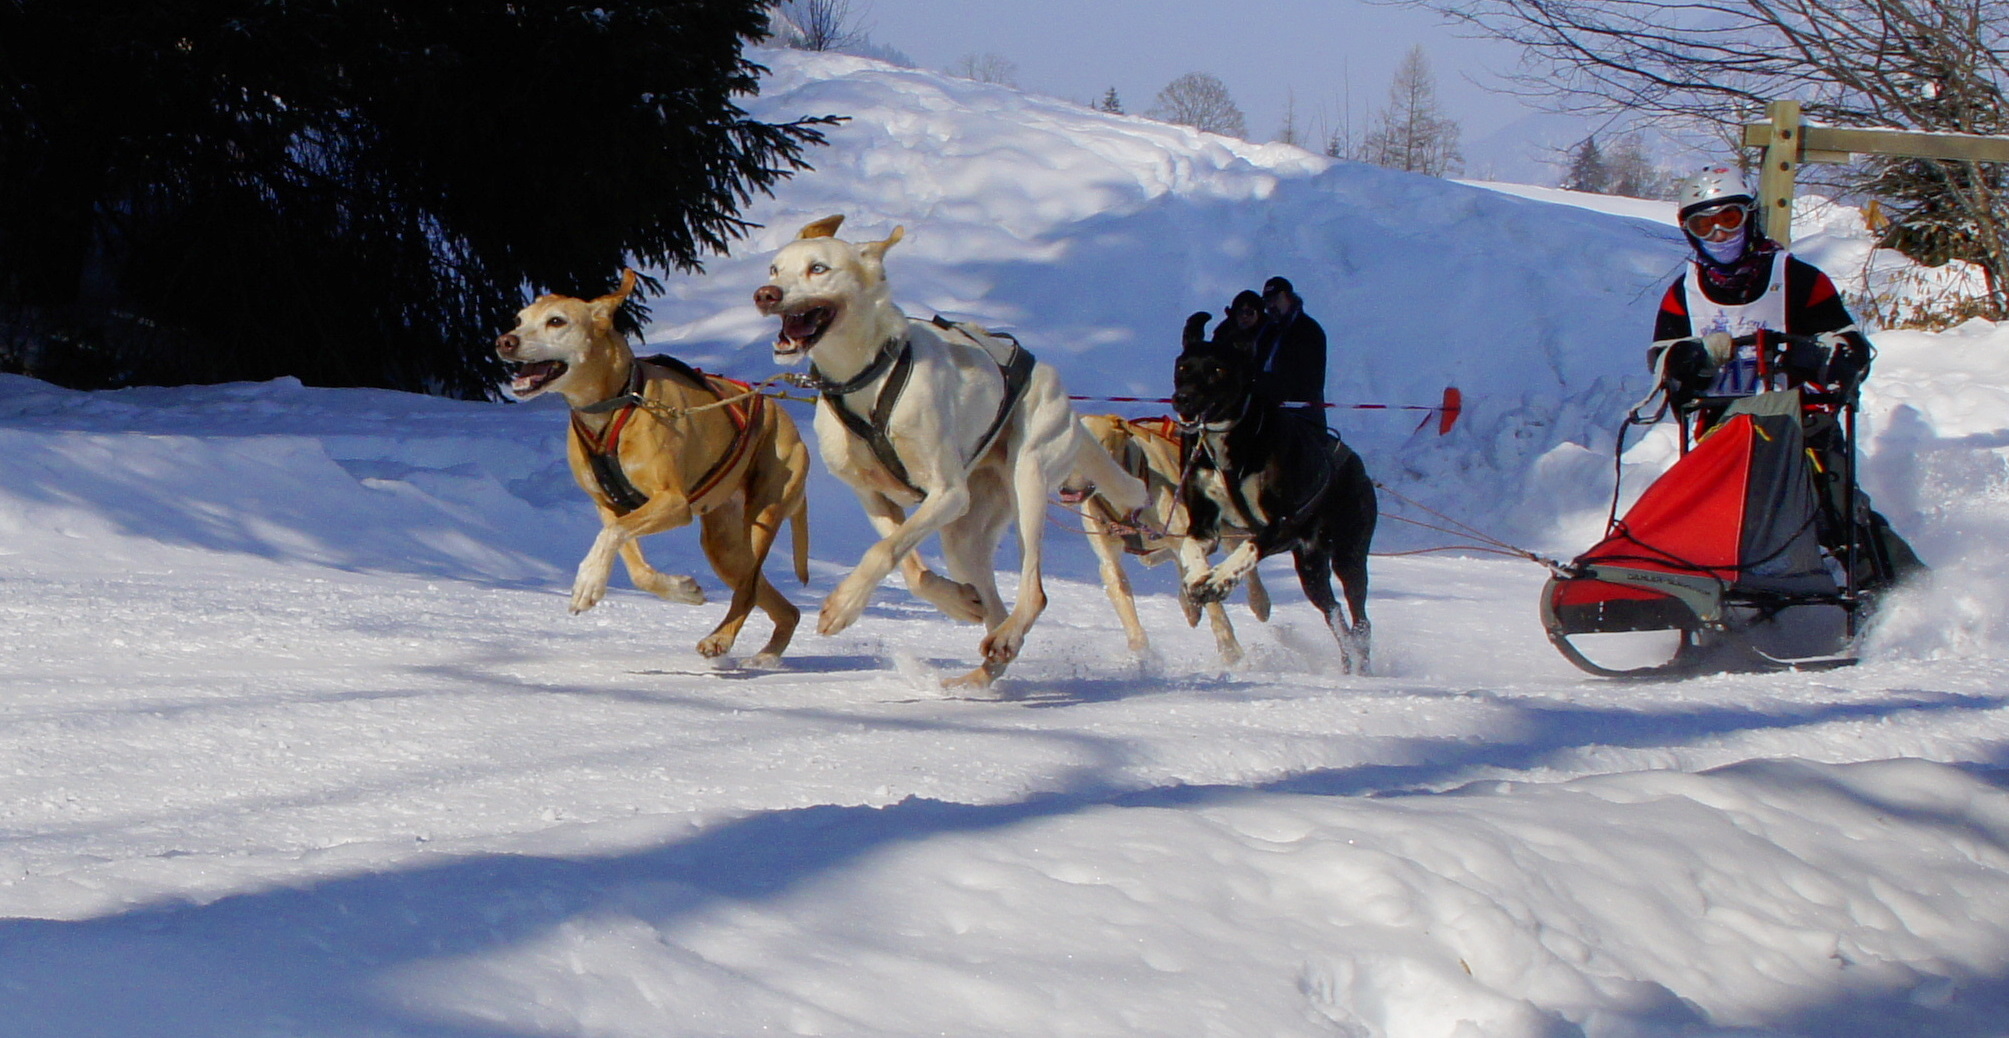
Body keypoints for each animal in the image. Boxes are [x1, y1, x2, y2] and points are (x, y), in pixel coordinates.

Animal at [498, 269, 811, 662]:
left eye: (557, 321)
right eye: (519, 320)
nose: (504, 342)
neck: (617, 403)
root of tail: (785, 416)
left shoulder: (673, 503)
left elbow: (610, 536)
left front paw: (587, 581)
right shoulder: (610, 506)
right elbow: (634, 565)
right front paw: (682, 589)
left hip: (761, 519)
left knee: (749, 590)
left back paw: (721, 639)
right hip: (724, 546)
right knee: (783, 605)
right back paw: (768, 652)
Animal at [755, 215, 1149, 686]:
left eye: (818, 268)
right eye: (775, 268)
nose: (766, 294)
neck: (869, 376)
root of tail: (1063, 395)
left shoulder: (947, 493)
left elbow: (881, 552)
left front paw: (841, 606)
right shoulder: (872, 495)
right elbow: (911, 568)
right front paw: (958, 601)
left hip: (1028, 478)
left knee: (1034, 591)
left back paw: (1004, 639)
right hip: (962, 539)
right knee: (994, 606)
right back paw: (981, 672)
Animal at [1173, 311, 1374, 666]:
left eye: (1217, 370)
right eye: (1182, 366)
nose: (1182, 398)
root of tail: (1357, 466)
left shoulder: (1281, 524)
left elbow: (1247, 548)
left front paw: (1220, 580)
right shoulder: (1204, 525)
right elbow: (1190, 547)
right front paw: (1198, 579)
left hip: (1348, 555)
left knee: (1359, 615)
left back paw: (1361, 655)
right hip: (1310, 567)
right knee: (1334, 611)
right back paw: (1349, 657)